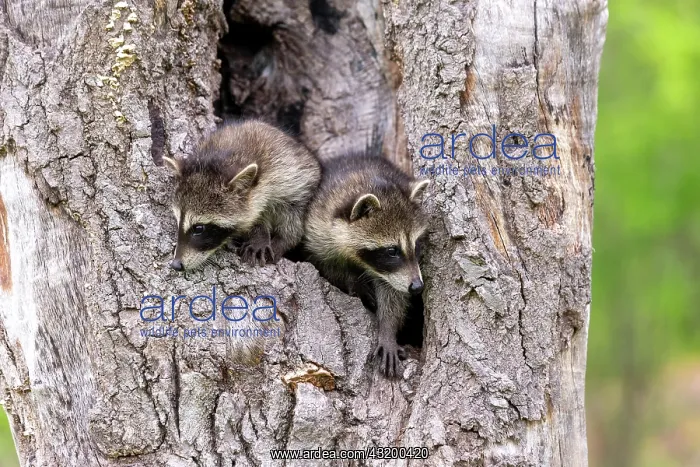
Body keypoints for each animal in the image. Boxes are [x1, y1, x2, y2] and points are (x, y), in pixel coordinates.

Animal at [163, 120, 321, 271]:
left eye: (199, 228)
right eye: (177, 220)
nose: (176, 265)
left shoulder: (293, 177)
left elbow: (294, 220)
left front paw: (281, 241)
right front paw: (259, 234)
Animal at [304, 155, 430, 377]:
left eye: (416, 245)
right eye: (392, 251)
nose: (417, 287)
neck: (369, 178)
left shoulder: (394, 274)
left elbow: (393, 294)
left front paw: (388, 330)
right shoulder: (319, 227)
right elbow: (326, 265)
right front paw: (354, 282)